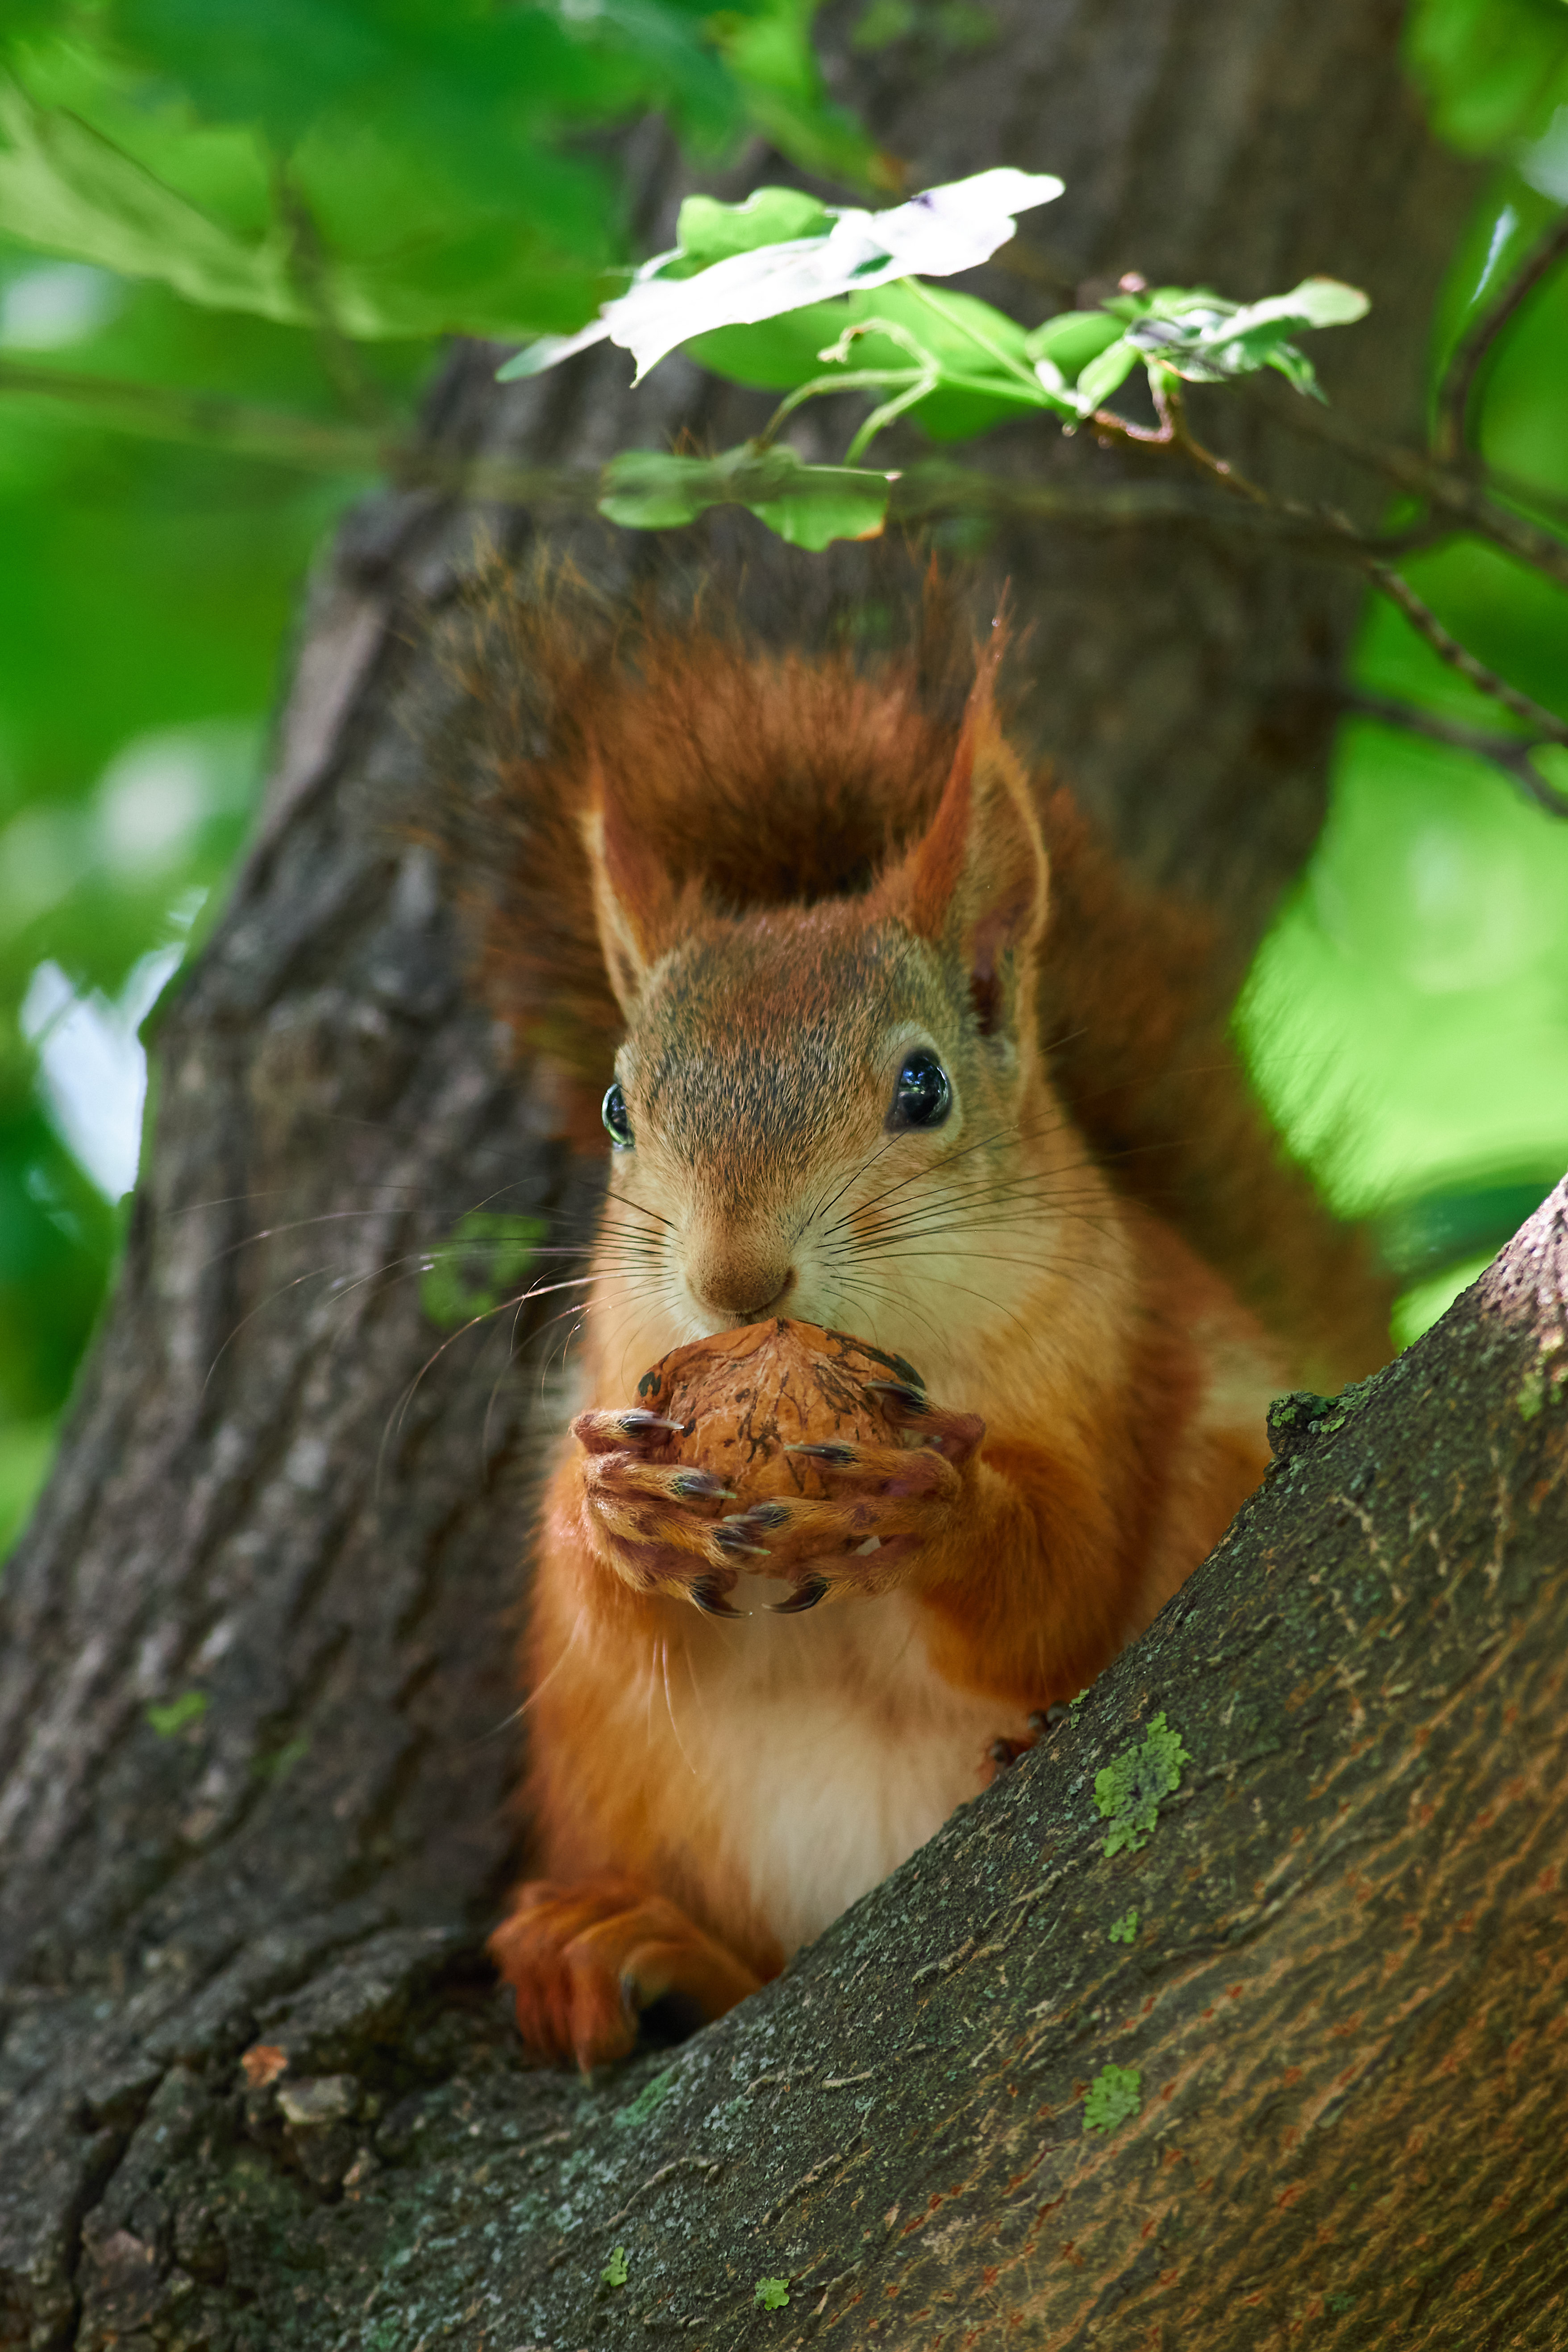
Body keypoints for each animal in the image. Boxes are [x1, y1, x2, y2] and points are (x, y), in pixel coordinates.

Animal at [433, 569, 1401, 2079]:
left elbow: (1063, 1588)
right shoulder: (613, 1363)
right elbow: (624, 1620)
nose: (737, 1283)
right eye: (616, 1108)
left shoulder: (1117, 1360)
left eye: (923, 1087)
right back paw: (635, 1944)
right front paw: (610, 1509)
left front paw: (932, 1501)